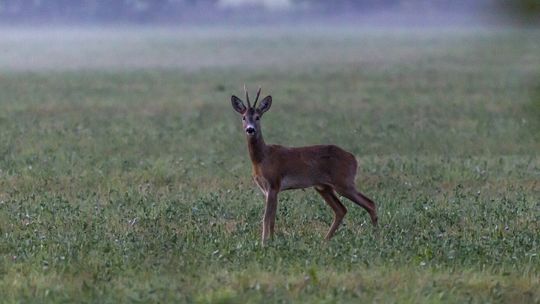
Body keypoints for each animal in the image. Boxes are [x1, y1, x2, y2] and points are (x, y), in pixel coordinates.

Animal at [230, 85, 378, 245]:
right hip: (324, 187)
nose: (250, 129)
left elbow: (266, 218)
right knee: (341, 210)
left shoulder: (274, 184)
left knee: (370, 203)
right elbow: (272, 218)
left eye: (258, 117)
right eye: (244, 117)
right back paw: (325, 240)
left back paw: (376, 237)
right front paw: (271, 241)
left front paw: (264, 243)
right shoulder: (268, 189)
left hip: (344, 182)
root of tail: (353, 159)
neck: (262, 157)